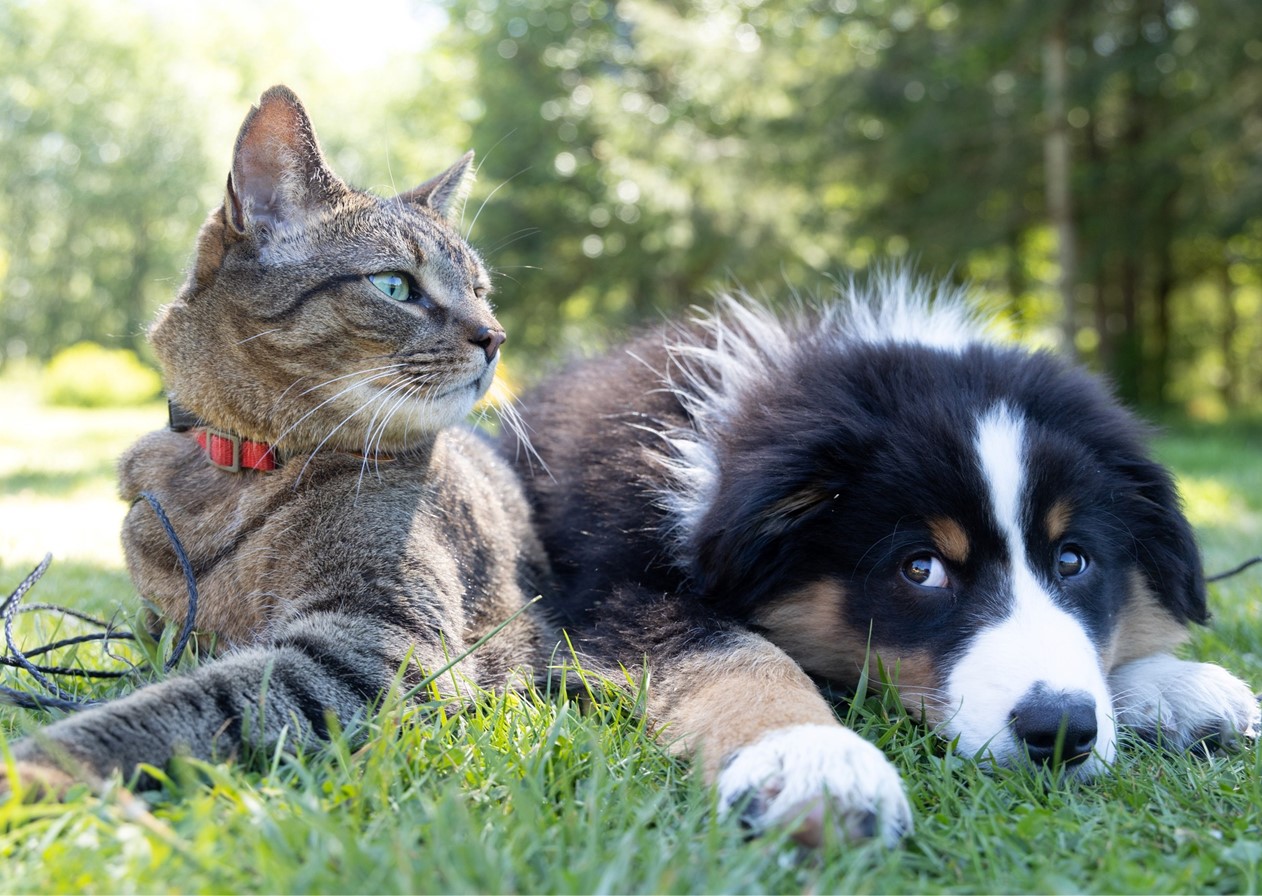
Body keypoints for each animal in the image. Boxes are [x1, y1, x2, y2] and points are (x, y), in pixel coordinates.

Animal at [2, 87, 552, 797]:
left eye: (482, 293)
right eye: (395, 285)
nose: (495, 336)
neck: (240, 468)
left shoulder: (378, 644)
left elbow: (184, 703)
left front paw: (41, 764)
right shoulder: (161, 629)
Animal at [499, 277, 1251, 853]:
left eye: (1073, 559)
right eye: (921, 569)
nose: (1060, 730)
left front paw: (1173, 686)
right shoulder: (614, 591)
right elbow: (735, 653)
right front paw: (812, 761)